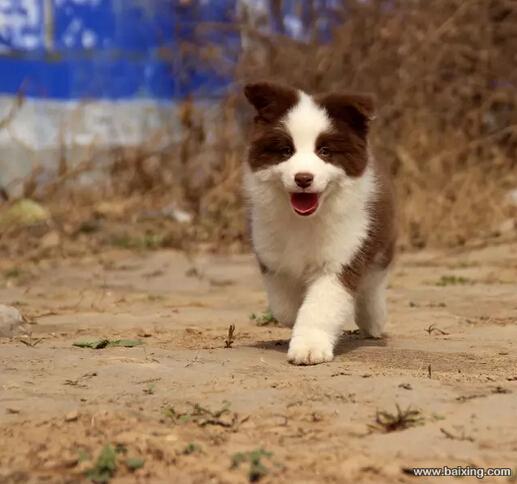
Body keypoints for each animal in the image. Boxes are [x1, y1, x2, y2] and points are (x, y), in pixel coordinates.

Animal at [242, 81, 396, 364]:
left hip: (381, 241)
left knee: (373, 284)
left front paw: (309, 348)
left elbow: (320, 306)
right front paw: (296, 322)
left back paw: (373, 321)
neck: (306, 220)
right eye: (286, 151)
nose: (303, 178)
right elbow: (284, 305)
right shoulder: (271, 255)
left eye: (325, 151)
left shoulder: (342, 256)